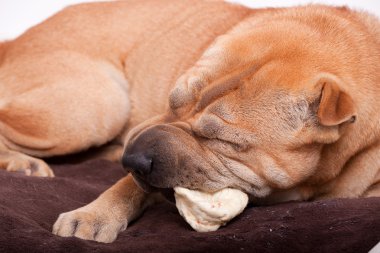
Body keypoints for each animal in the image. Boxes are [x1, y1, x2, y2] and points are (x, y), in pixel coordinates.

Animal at [0, 0, 380, 243]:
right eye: (171, 101)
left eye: (223, 141)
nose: (132, 158)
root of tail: (12, 42)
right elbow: (126, 185)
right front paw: (94, 215)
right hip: (97, 106)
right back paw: (23, 163)